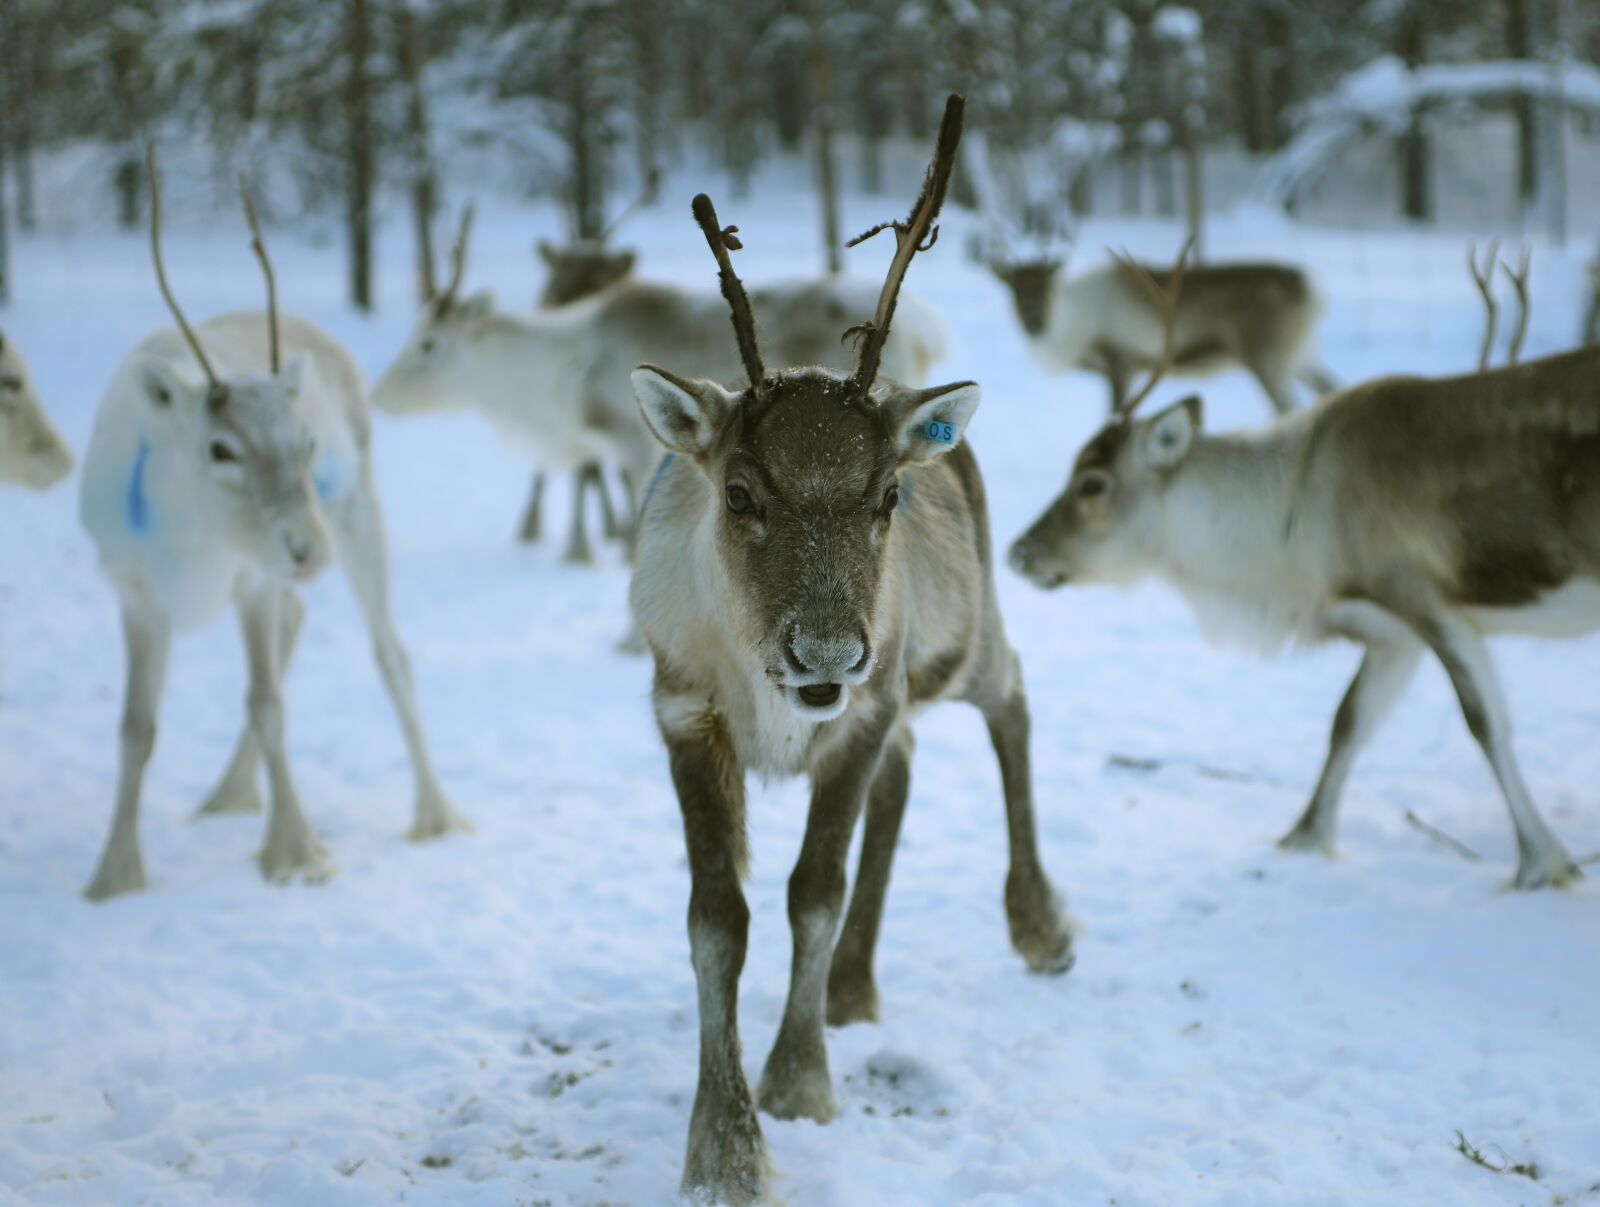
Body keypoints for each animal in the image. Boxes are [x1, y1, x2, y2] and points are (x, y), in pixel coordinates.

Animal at [77, 149, 467, 901]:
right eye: (221, 448)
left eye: (306, 442)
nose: (307, 547)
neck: (191, 532)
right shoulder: (136, 594)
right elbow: (135, 726)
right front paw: (114, 871)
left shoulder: (251, 577)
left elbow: (266, 702)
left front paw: (295, 852)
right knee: (298, 619)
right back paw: (228, 793)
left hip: (358, 516)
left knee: (389, 653)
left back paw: (435, 814)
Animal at [628, 96, 1074, 1204]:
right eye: (738, 491)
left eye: (885, 494)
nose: (826, 652)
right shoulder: (683, 711)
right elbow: (717, 918)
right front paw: (724, 1145)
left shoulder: (864, 706)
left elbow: (810, 892)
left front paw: (798, 1085)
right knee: (907, 775)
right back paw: (855, 984)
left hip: (951, 645)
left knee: (1011, 696)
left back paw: (1039, 925)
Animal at [988, 247, 1338, 415]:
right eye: (1013, 289)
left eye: (1046, 286)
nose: (1033, 322)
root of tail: (1311, 292)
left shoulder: (1120, 361)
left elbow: (1111, 415)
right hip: (1302, 356)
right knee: (1331, 388)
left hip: (1264, 357)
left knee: (1288, 406)